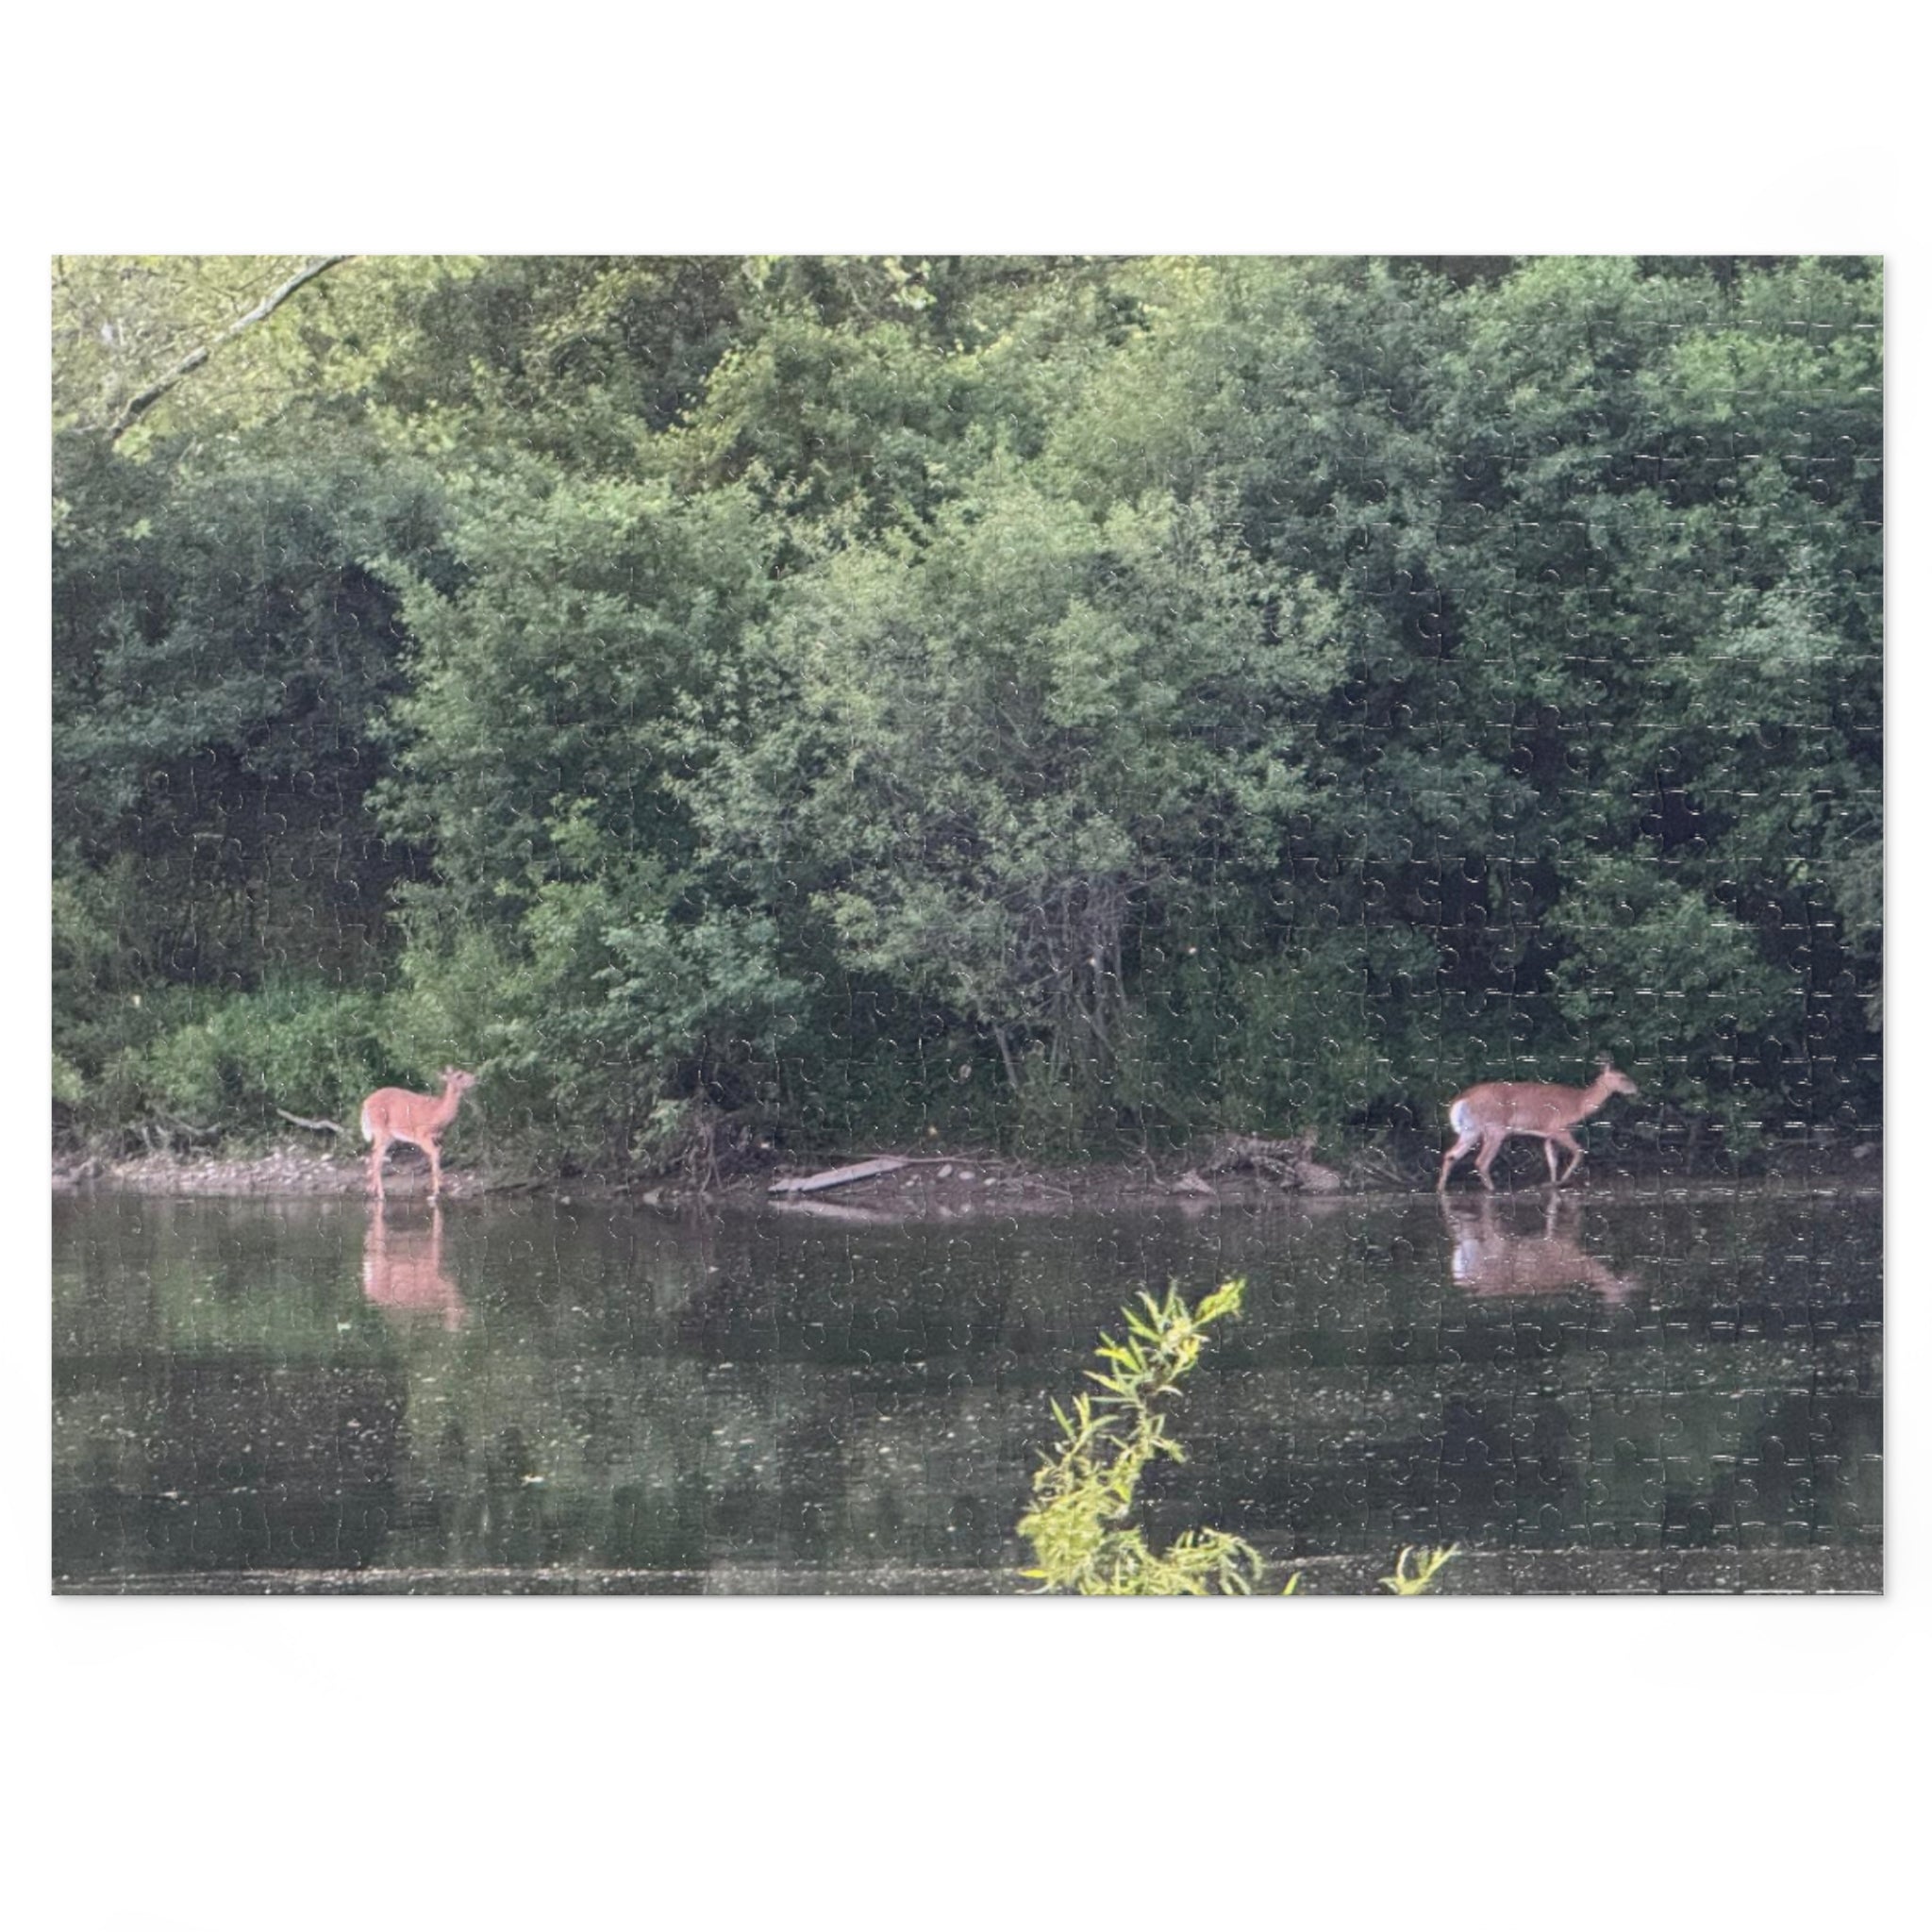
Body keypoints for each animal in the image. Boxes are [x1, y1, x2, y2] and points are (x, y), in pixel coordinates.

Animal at [359, 1068, 477, 1203]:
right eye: (459, 1075)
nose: (475, 1078)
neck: (438, 1112)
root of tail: (365, 1103)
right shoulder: (422, 1135)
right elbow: (435, 1153)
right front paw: (436, 1192)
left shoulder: (435, 1137)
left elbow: (437, 1153)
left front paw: (440, 1186)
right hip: (380, 1130)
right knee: (376, 1156)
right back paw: (380, 1194)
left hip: (388, 1136)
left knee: (375, 1156)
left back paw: (372, 1191)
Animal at [1435, 1057, 1638, 1193]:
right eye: (1622, 1077)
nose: (1636, 1089)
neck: (1578, 1103)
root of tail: (1462, 1100)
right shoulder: (1559, 1127)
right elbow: (1579, 1151)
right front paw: (1560, 1182)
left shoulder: (1548, 1133)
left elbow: (1552, 1160)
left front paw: (1552, 1183)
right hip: (1495, 1128)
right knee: (1481, 1161)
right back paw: (1493, 1190)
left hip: (1471, 1130)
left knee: (1450, 1155)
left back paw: (1440, 1189)